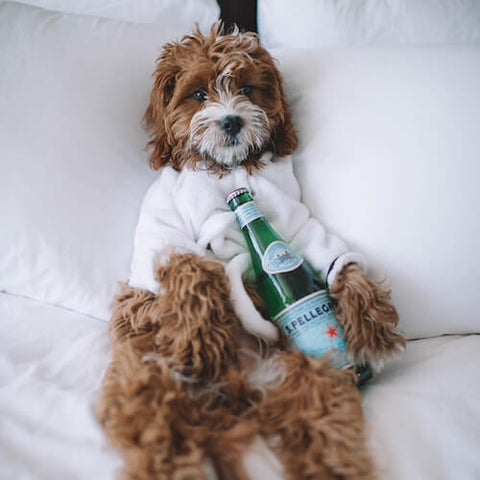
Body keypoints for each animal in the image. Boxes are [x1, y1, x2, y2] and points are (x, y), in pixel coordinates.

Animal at [97, 24, 404, 478]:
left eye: (245, 89)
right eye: (198, 94)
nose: (231, 119)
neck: (227, 170)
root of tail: (239, 400)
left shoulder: (294, 218)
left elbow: (328, 253)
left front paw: (369, 318)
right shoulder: (162, 223)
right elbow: (189, 265)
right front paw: (199, 334)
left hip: (317, 379)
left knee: (324, 427)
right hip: (145, 377)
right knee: (157, 432)